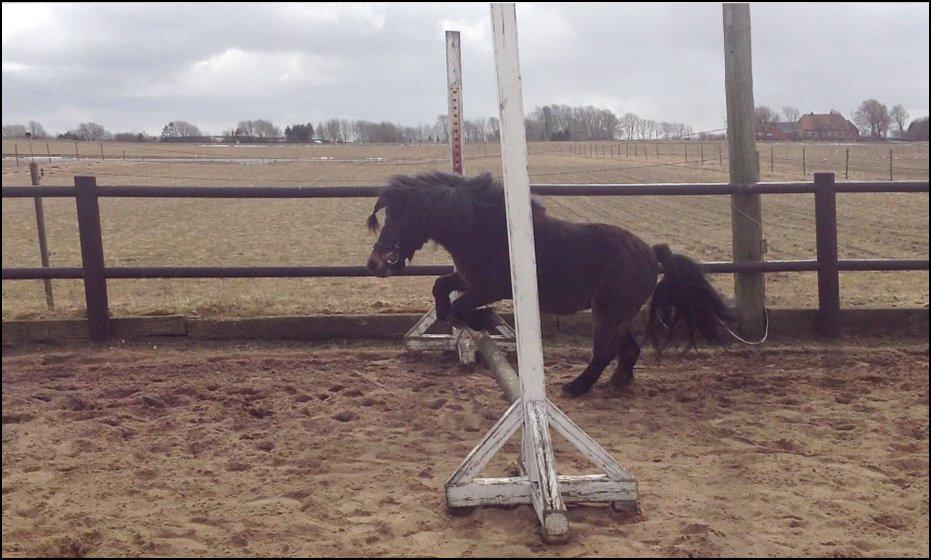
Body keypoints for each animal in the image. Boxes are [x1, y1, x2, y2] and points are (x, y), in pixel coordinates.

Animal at [366, 172, 733, 396]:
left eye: (402, 219)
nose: (375, 263)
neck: (486, 231)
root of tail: (651, 253)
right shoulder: (469, 279)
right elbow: (441, 287)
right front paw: (454, 316)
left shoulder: (493, 287)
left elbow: (461, 304)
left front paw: (478, 320)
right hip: (617, 314)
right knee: (627, 349)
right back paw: (617, 383)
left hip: (608, 313)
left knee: (605, 350)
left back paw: (576, 387)